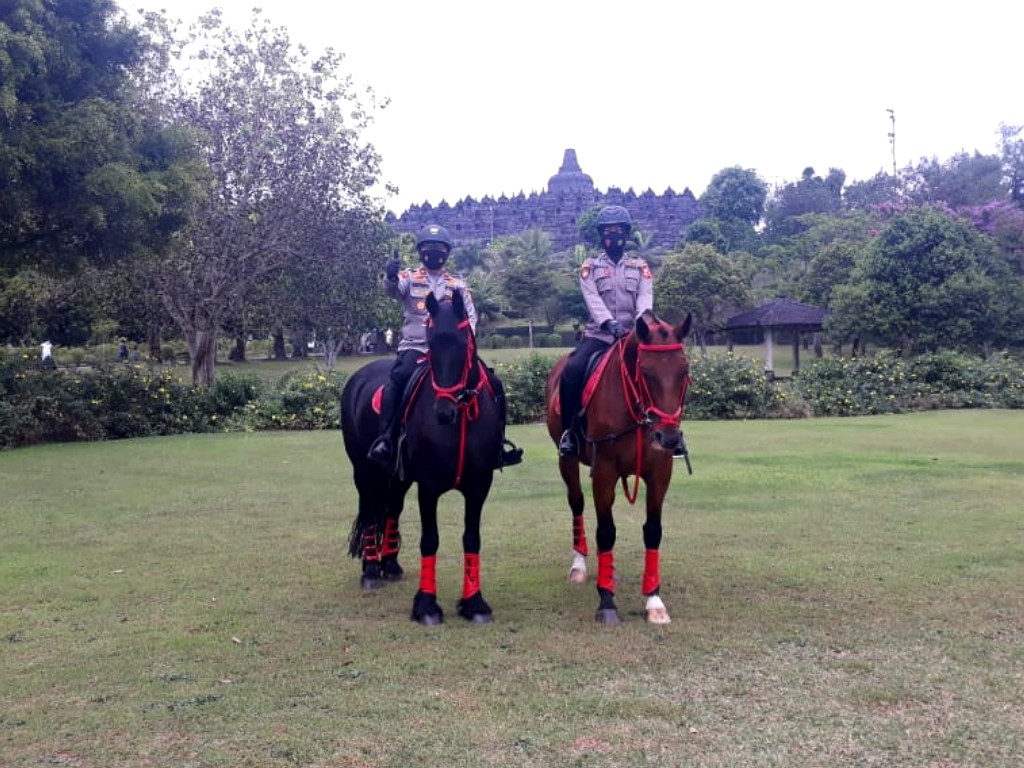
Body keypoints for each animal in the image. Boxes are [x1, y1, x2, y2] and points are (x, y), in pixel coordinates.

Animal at [342, 288, 501, 626]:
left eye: (463, 343)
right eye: (431, 343)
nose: (443, 412)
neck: (461, 421)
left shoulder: (479, 486)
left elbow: (472, 538)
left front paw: (474, 603)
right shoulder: (428, 486)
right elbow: (430, 540)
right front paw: (426, 605)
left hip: (398, 475)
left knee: (391, 508)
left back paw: (390, 564)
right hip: (365, 471)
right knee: (370, 508)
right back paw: (371, 569)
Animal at [544, 311, 696, 626]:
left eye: (684, 371)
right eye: (646, 372)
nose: (669, 438)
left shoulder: (660, 474)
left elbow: (653, 531)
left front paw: (654, 601)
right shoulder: (604, 472)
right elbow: (606, 532)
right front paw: (607, 602)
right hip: (567, 460)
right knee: (576, 503)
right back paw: (579, 565)